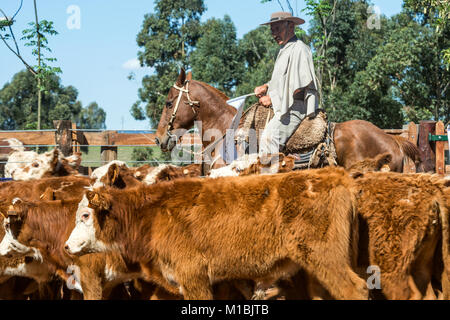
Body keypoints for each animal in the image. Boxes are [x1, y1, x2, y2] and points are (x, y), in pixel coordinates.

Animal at [66, 168, 370, 300]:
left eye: (85, 215)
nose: (67, 247)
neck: (153, 214)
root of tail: (335, 176)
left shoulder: (193, 276)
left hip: (325, 257)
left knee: (354, 289)